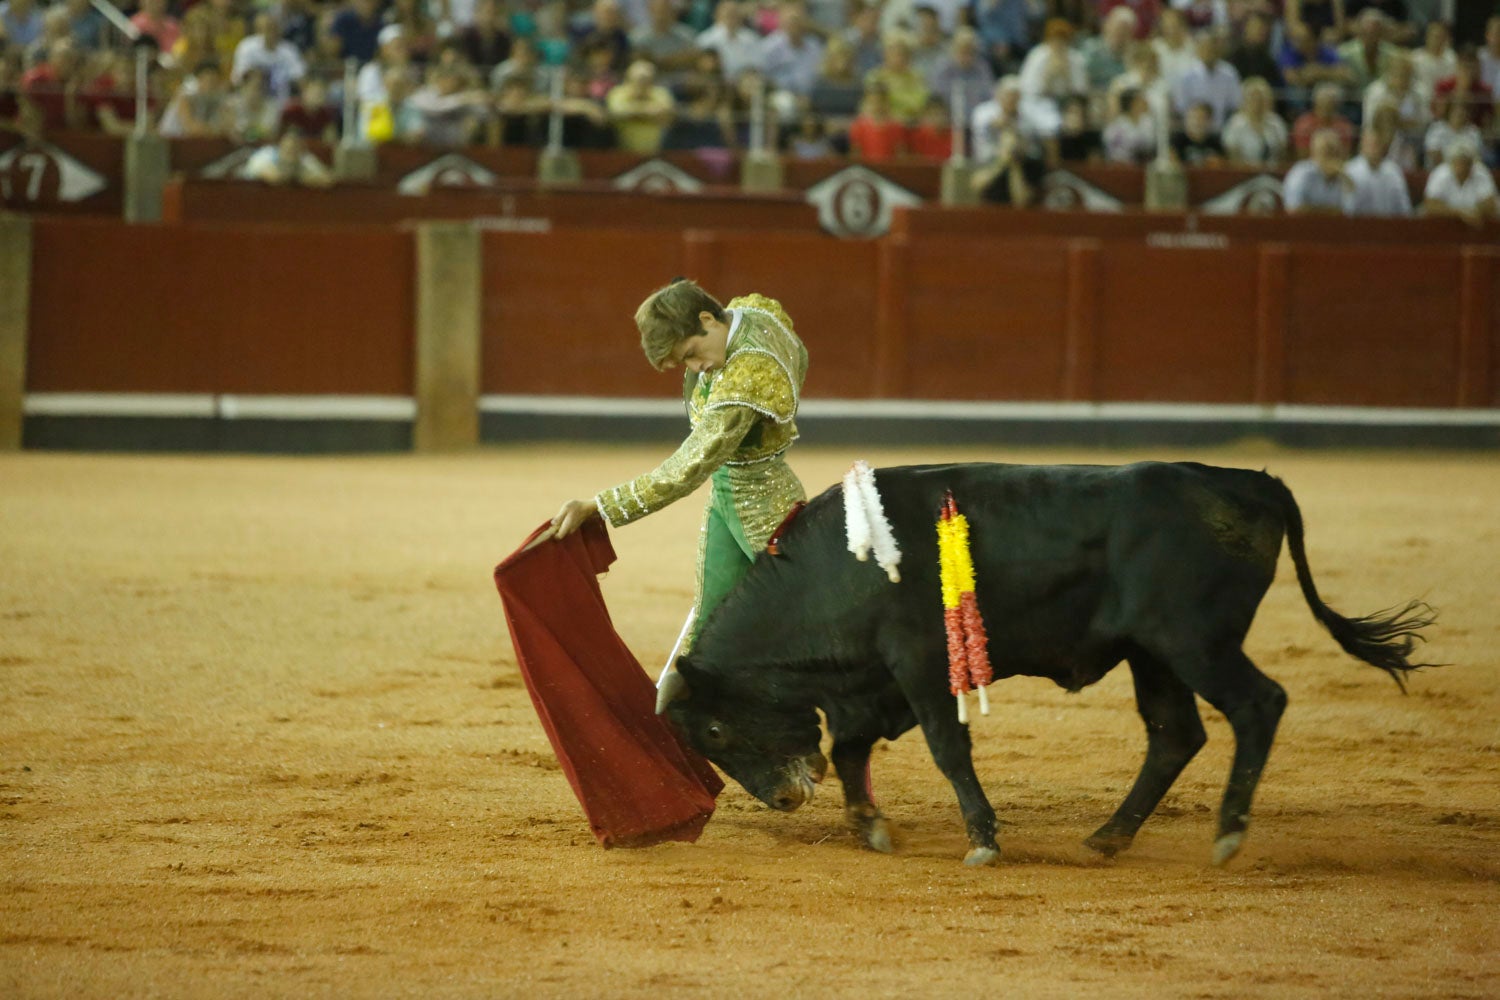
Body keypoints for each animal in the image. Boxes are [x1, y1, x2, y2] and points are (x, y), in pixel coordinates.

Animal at [663, 461, 1434, 869]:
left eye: (716, 732)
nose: (784, 801)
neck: (838, 566)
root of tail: (1251, 482)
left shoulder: (917, 665)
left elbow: (947, 748)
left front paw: (982, 841)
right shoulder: (882, 686)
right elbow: (853, 745)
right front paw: (872, 827)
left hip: (1195, 643)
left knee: (1258, 704)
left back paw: (1227, 834)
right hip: (1153, 656)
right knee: (1174, 733)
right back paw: (1110, 836)